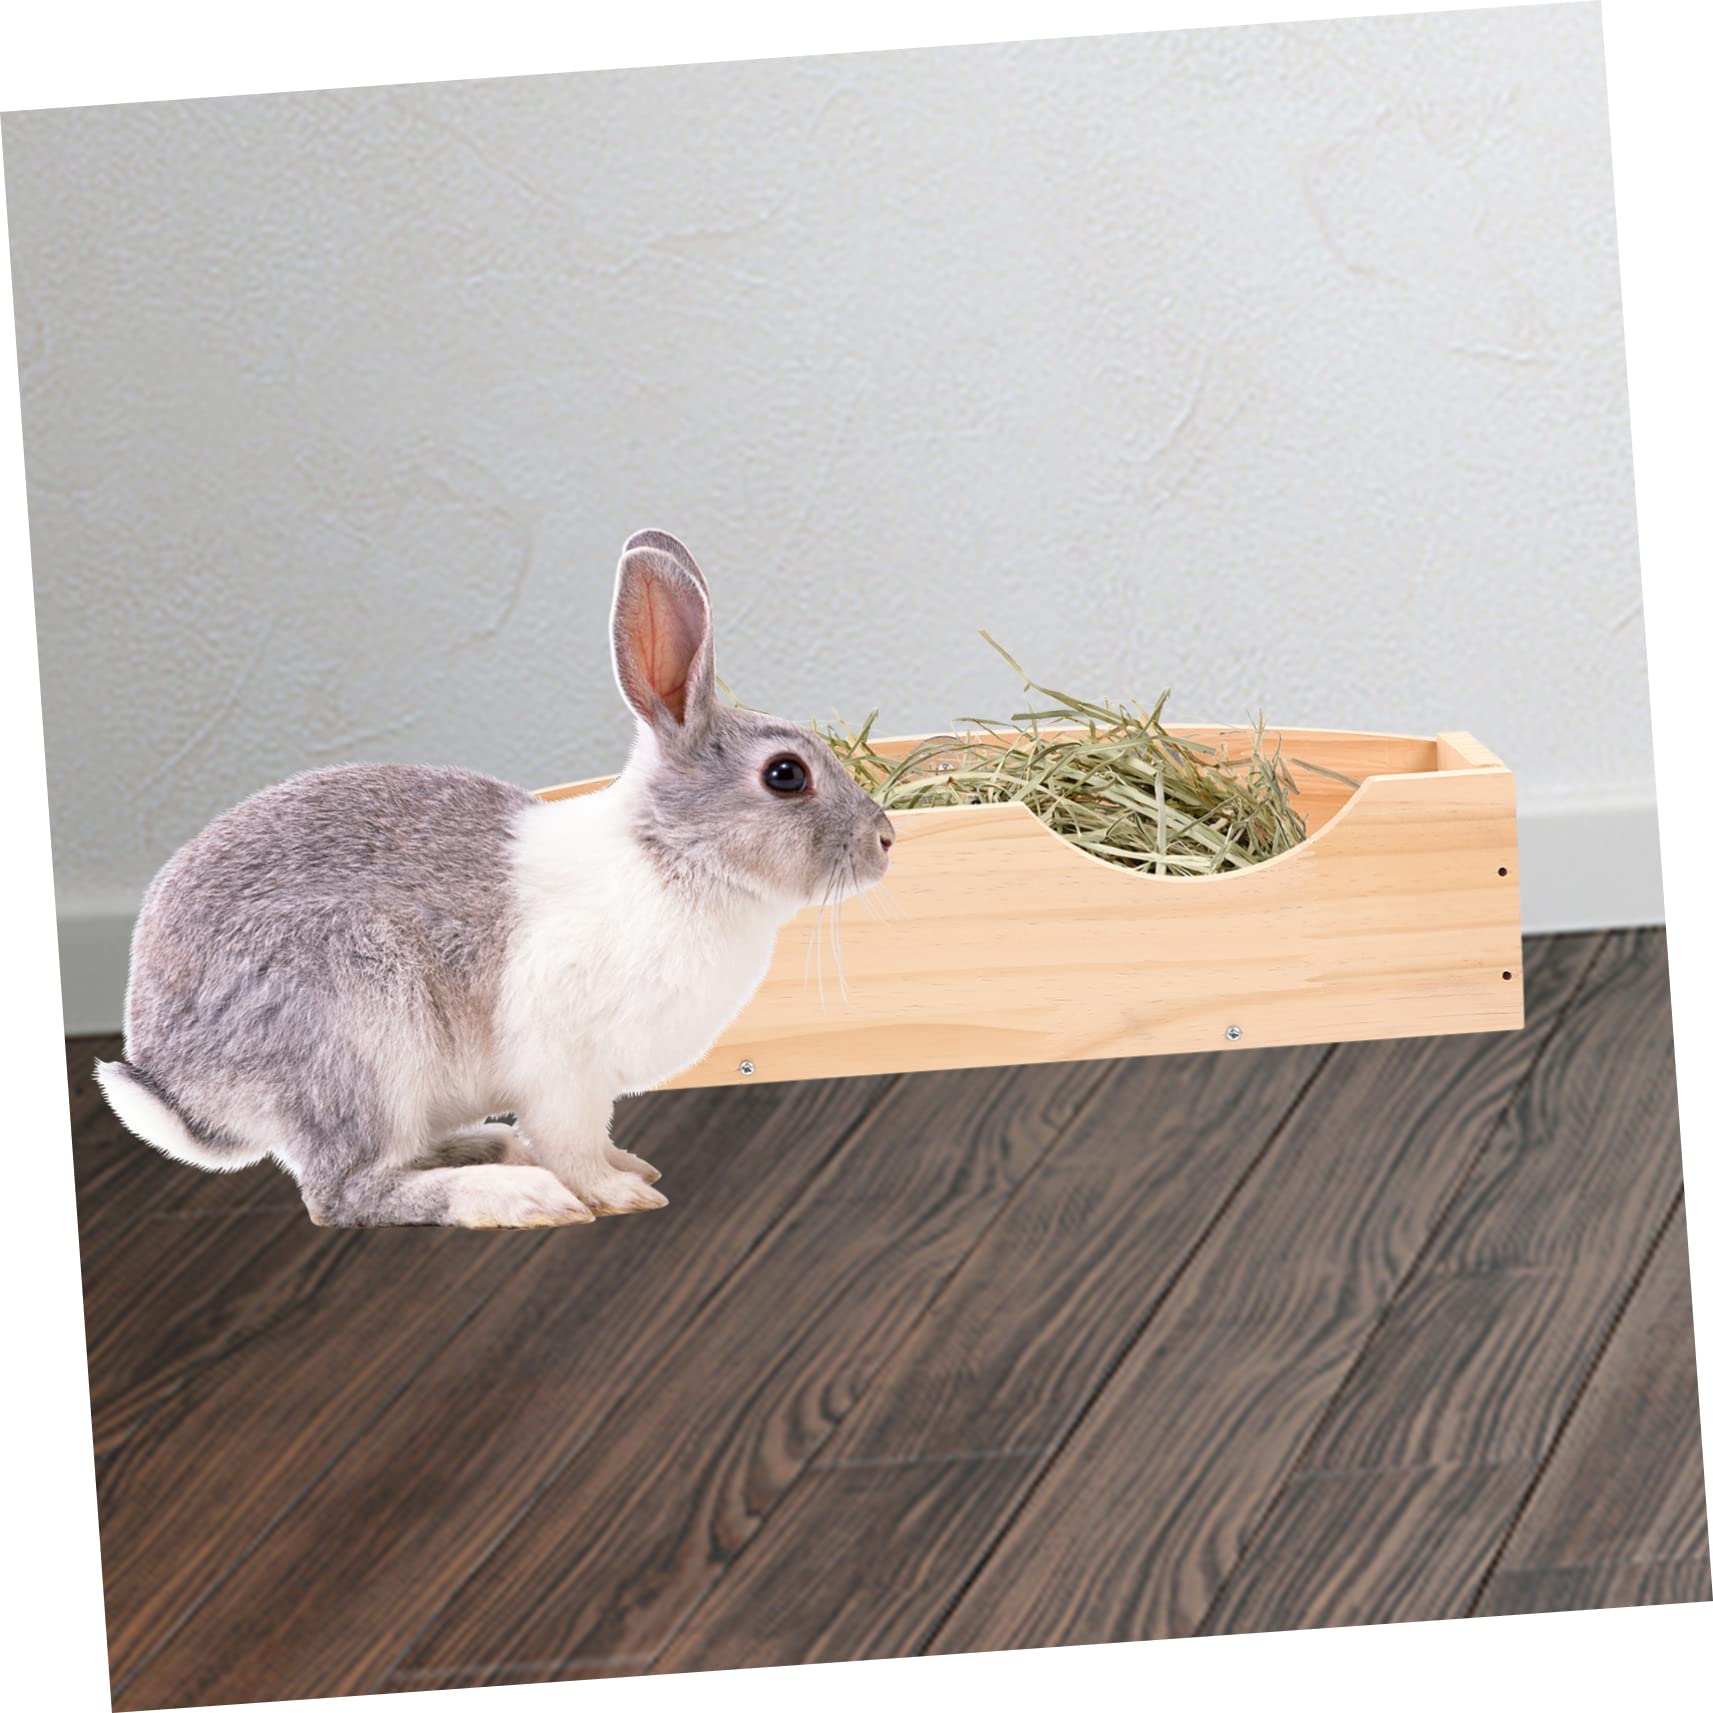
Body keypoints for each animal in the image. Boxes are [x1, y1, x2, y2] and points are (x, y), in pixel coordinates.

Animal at [95, 530, 896, 1228]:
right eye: (785, 775)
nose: (885, 841)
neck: (672, 853)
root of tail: (180, 1082)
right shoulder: (564, 1071)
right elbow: (572, 1142)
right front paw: (619, 1191)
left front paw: (631, 1166)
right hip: (356, 1027)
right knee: (345, 1192)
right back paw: (514, 1196)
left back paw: (495, 1151)